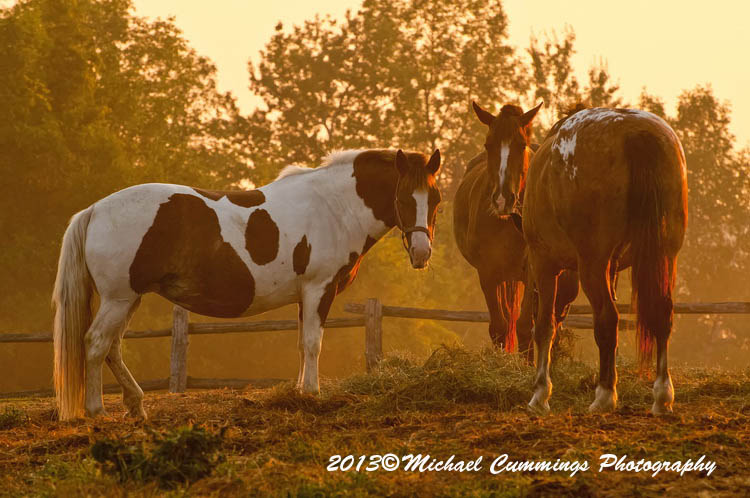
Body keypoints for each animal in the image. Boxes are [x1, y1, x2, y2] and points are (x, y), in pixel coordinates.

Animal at [52, 148, 442, 421]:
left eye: (436, 200)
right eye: (403, 197)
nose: (422, 254)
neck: (333, 206)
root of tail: (95, 210)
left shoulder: (304, 295)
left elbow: (301, 344)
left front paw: (298, 393)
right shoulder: (319, 289)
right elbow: (313, 343)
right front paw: (312, 393)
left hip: (127, 299)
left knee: (113, 347)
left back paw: (136, 405)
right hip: (119, 298)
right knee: (96, 343)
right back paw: (96, 410)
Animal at [481, 104, 688, 415]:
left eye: (514, 145)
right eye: (491, 145)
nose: (501, 198)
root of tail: (636, 132)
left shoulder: (544, 264)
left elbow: (544, 326)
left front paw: (540, 394)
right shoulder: (612, 269)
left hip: (592, 264)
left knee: (607, 318)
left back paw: (604, 396)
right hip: (665, 254)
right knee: (661, 313)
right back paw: (662, 395)